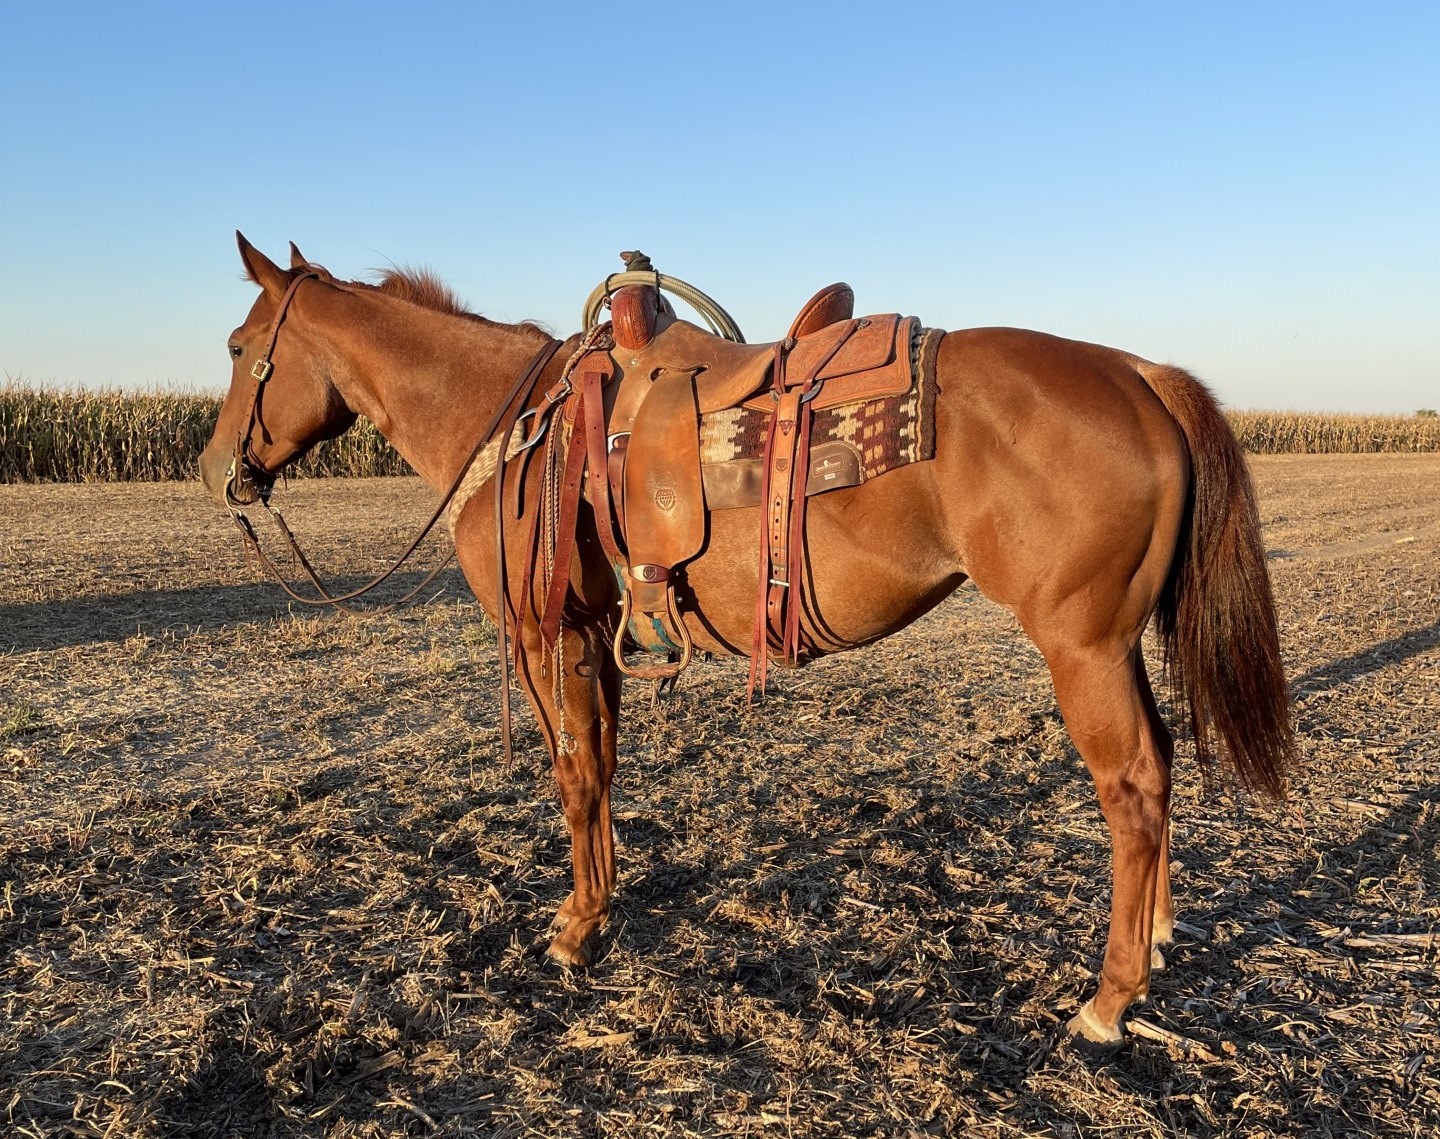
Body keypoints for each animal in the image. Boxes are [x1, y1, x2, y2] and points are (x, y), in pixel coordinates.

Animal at [198, 233, 1295, 1051]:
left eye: (240, 344)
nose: (217, 470)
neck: (513, 429)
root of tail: (1140, 375)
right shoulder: (600, 636)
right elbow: (603, 766)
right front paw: (603, 906)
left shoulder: (551, 636)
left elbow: (572, 773)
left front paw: (574, 930)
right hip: (1117, 644)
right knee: (1161, 765)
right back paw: (1157, 936)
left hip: (1082, 647)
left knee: (1134, 786)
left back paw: (1109, 997)